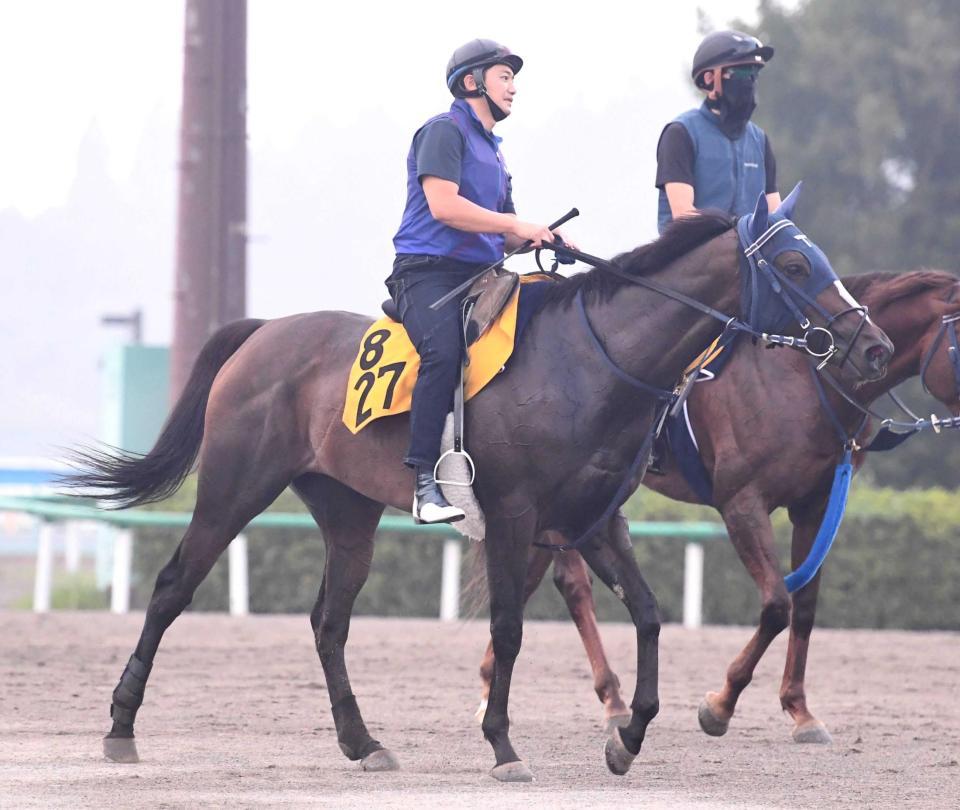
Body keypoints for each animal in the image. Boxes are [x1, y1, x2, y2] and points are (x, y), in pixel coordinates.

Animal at [67, 193, 892, 780]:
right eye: (794, 265)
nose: (873, 345)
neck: (591, 363)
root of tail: (264, 331)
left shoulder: (596, 522)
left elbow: (651, 616)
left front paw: (627, 736)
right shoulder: (517, 515)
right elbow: (509, 627)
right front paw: (503, 747)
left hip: (347, 513)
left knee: (328, 622)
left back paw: (362, 742)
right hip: (235, 488)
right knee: (173, 587)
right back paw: (120, 727)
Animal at [474, 266, 960, 740]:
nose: (878, 350)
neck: (801, 375)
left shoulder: (816, 505)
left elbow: (803, 605)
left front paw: (800, 710)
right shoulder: (742, 502)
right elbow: (776, 605)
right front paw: (721, 705)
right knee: (570, 586)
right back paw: (605, 699)